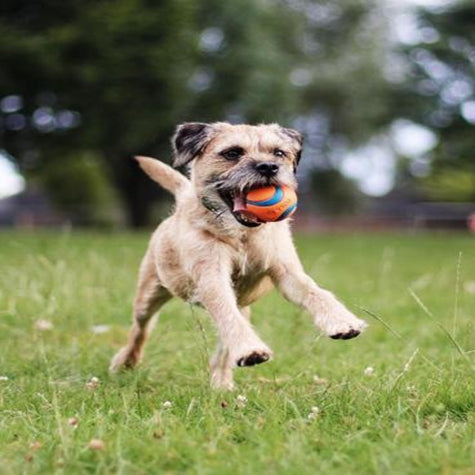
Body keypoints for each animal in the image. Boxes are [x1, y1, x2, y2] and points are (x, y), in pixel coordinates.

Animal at [109, 122, 368, 390]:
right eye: (232, 153)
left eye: (279, 153)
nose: (268, 167)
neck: (243, 236)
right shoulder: (212, 278)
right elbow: (225, 312)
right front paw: (250, 349)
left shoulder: (288, 273)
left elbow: (316, 293)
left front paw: (342, 321)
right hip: (149, 294)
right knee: (141, 328)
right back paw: (126, 362)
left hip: (242, 304)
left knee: (223, 347)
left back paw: (222, 383)